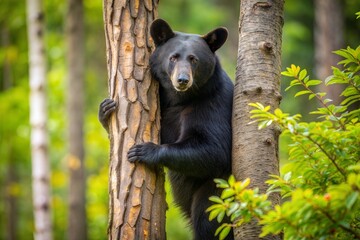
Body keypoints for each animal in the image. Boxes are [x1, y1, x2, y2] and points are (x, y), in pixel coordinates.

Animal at [98, 19, 233, 240]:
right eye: (173, 57)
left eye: (194, 59)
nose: (182, 80)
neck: (180, 98)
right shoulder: (164, 102)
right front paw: (105, 109)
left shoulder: (214, 103)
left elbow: (214, 147)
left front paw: (144, 151)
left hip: (220, 190)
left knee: (208, 221)